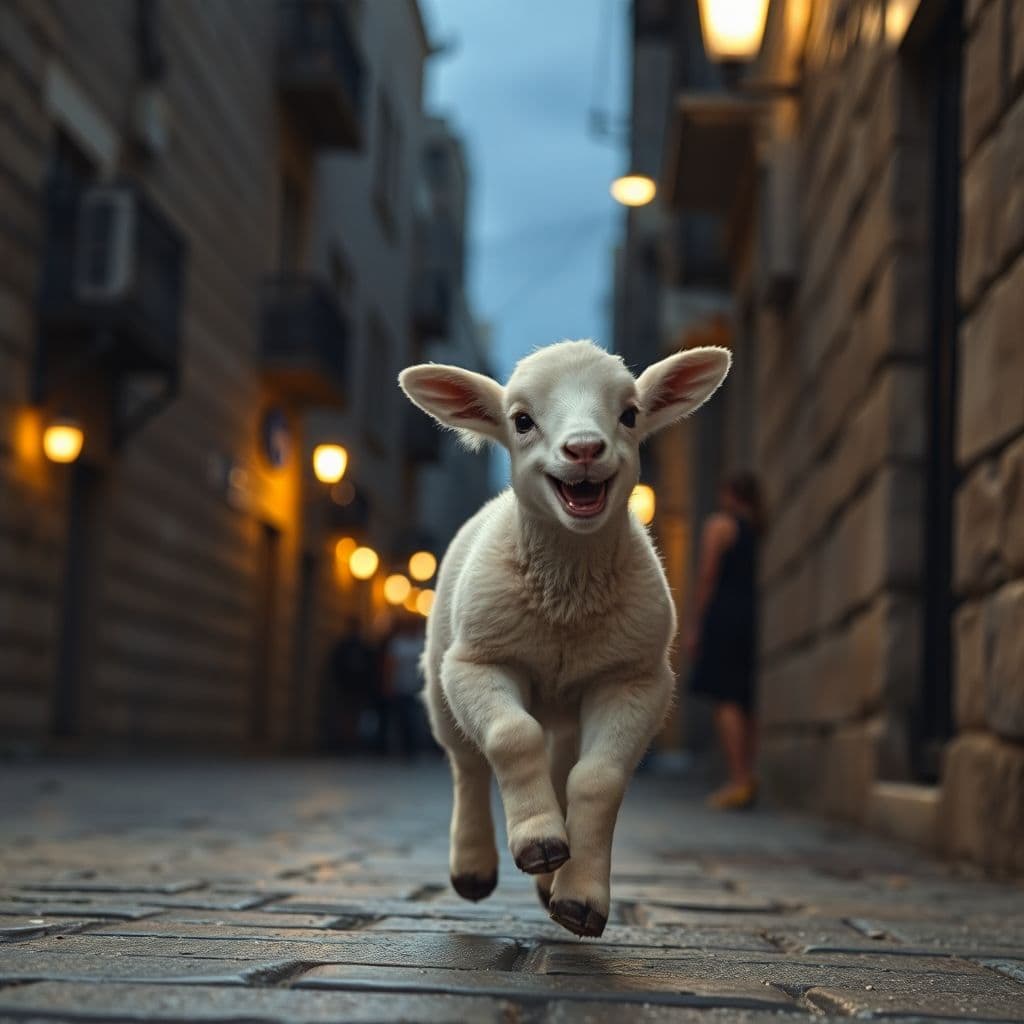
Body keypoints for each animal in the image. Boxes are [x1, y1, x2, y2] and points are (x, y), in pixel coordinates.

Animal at [398, 339, 730, 938]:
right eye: (522, 421)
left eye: (630, 414)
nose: (583, 449)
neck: (566, 600)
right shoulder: (479, 660)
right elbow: (510, 736)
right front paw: (538, 842)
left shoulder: (634, 678)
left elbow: (598, 778)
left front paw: (578, 896)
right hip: (439, 678)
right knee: (467, 762)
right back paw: (474, 866)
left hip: (570, 706)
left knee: (562, 763)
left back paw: (551, 879)